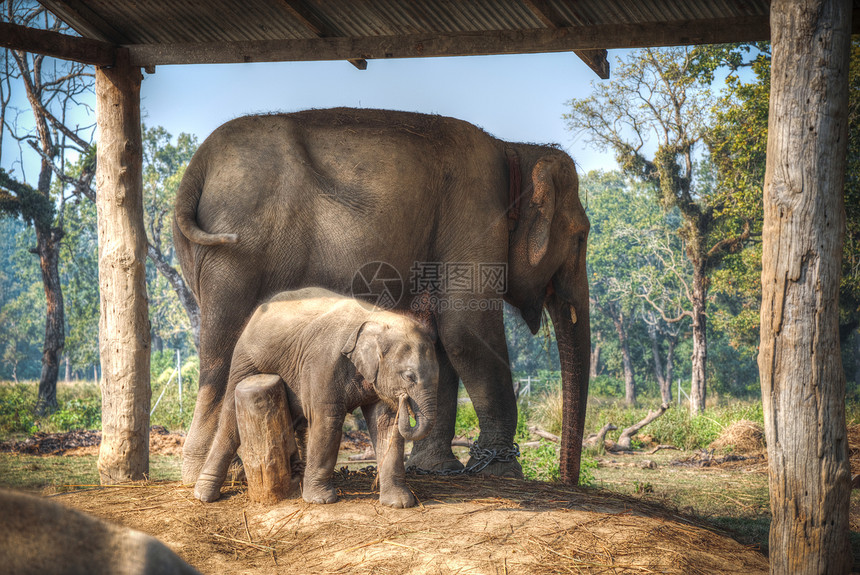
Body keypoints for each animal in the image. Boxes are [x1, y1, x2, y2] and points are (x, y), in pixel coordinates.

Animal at [175, 108, 592, 486]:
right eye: (582, 236)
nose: (566, 481)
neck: (514, 149)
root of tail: (197, 166)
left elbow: (439, 339)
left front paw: (436, 469)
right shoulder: (476, 214)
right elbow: (466, 331)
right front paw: (504, 473)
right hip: (238, 254)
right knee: (222, 347)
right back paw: (214, 475)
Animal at [195, 288, 436, 508]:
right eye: (409, 376)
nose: (403, 398)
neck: (378, 318)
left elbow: (386, 424)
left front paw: (400, 504)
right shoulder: (324, 362)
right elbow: (327, 421)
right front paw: (321, 500)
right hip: (245, 363)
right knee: (230, 420)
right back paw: (204, 495)